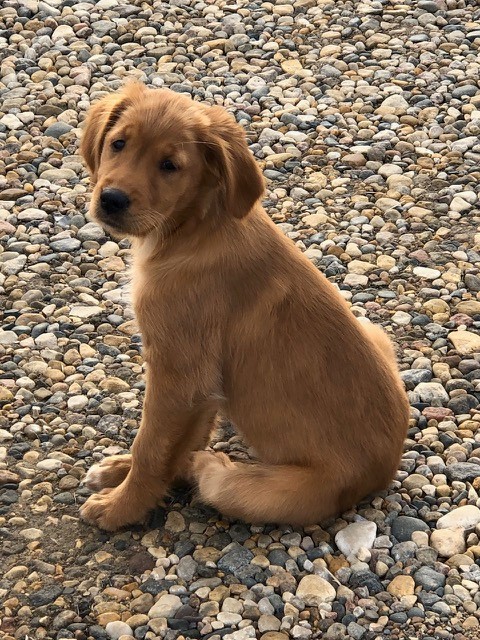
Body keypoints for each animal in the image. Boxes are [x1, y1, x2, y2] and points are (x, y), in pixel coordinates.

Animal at [79, 81, 408, 528]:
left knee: (216, 476)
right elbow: (173, 442)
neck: (195, 227)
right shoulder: (202, 385)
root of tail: (385, 471)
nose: (111, 200)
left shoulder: (178, 371)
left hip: (261, 491)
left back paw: (205, 466)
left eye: (170, 165)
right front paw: (124, 473)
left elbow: (151, 445)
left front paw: (120, 507)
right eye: (118, 144)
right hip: (374, 332)